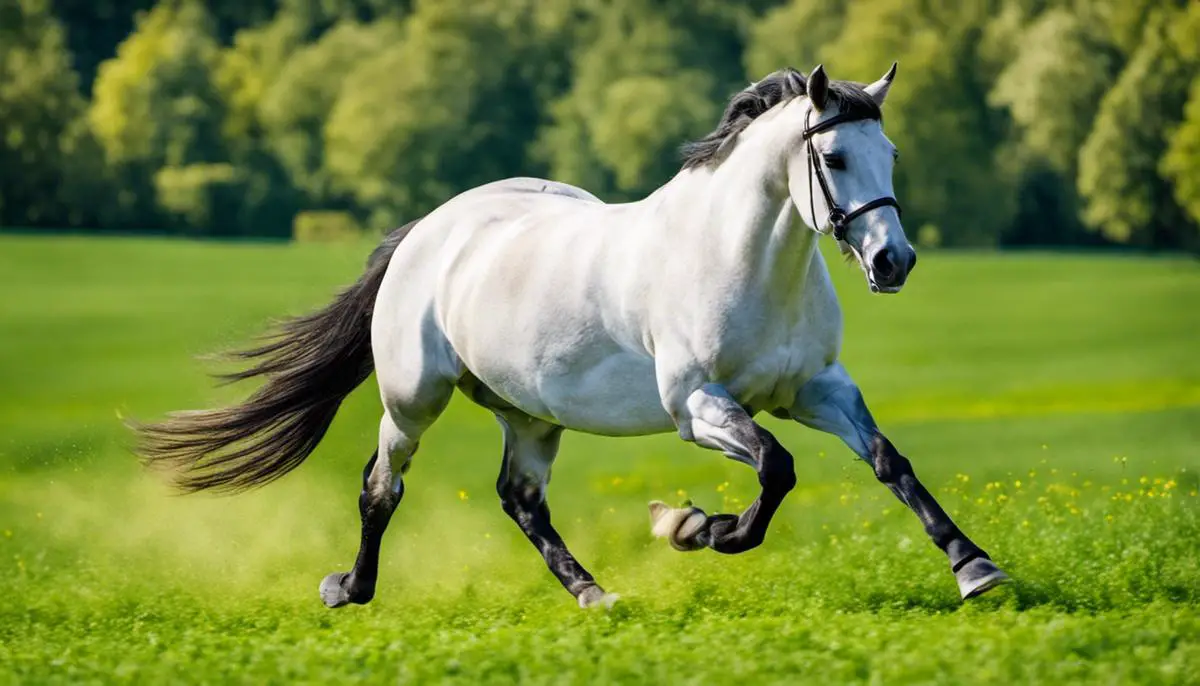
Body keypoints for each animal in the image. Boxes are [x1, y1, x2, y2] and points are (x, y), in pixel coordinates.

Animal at [138, 64, 1012, 609]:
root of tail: (430, 229)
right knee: (382, 488)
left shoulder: (817, 388)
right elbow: (777, 467)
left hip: (530, 414)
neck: (741, 259)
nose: (893, 260)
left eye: (888, 151)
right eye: (831, 155)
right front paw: (700, 530)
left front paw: (976, 568)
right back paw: (348, 589)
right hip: (412, 399)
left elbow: (887, 462)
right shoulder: (697, 406)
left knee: (520, 500)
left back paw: (594, 592)